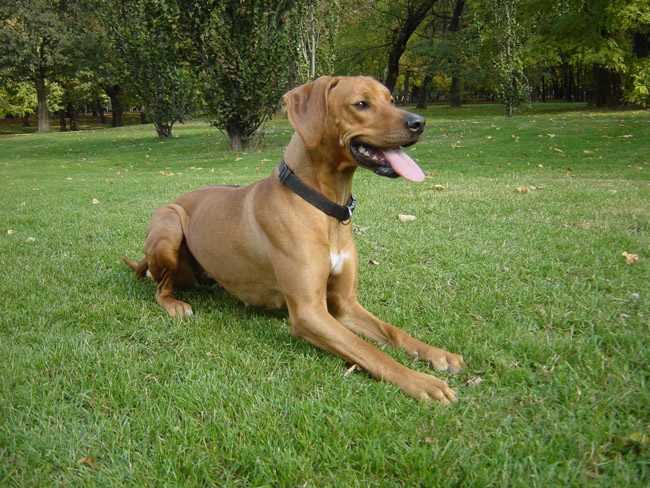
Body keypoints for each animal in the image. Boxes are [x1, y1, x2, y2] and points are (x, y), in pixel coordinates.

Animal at [124, 76, 464, 402]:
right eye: (361, 104)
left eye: (391, 100)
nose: (419, 122)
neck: (323, 206)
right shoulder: (309, 312)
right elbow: (369, 351)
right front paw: (420, 381)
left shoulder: (344, 305)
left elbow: (393, 332)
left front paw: (436, 353)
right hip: (169, 228)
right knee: (160, 288)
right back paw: (175, 305)